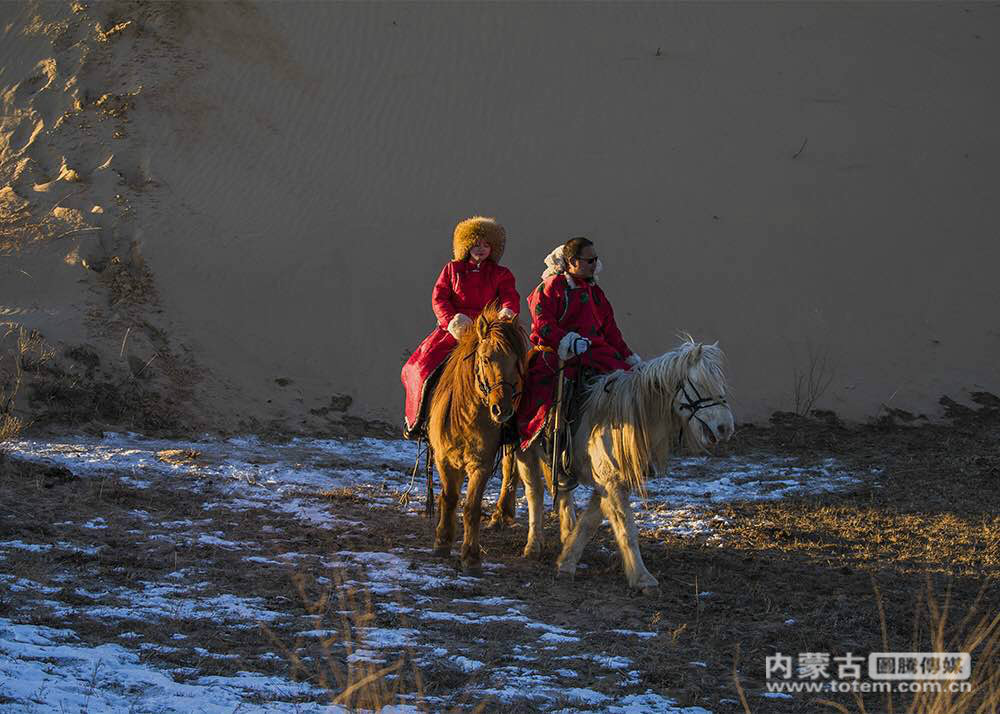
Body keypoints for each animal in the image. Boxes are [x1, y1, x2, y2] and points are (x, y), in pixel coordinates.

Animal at [512, 336, 732, 592]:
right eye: (699, 383)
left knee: (564, 495)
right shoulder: (611, 482)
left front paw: (566, 561)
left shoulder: (610, 482)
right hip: (525, 454)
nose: (725, 428)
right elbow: (626, 528)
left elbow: (589, 522)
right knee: (534, 494)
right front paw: (642, 577)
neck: (627, 417)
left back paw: (566, 534)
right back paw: (533, 545)